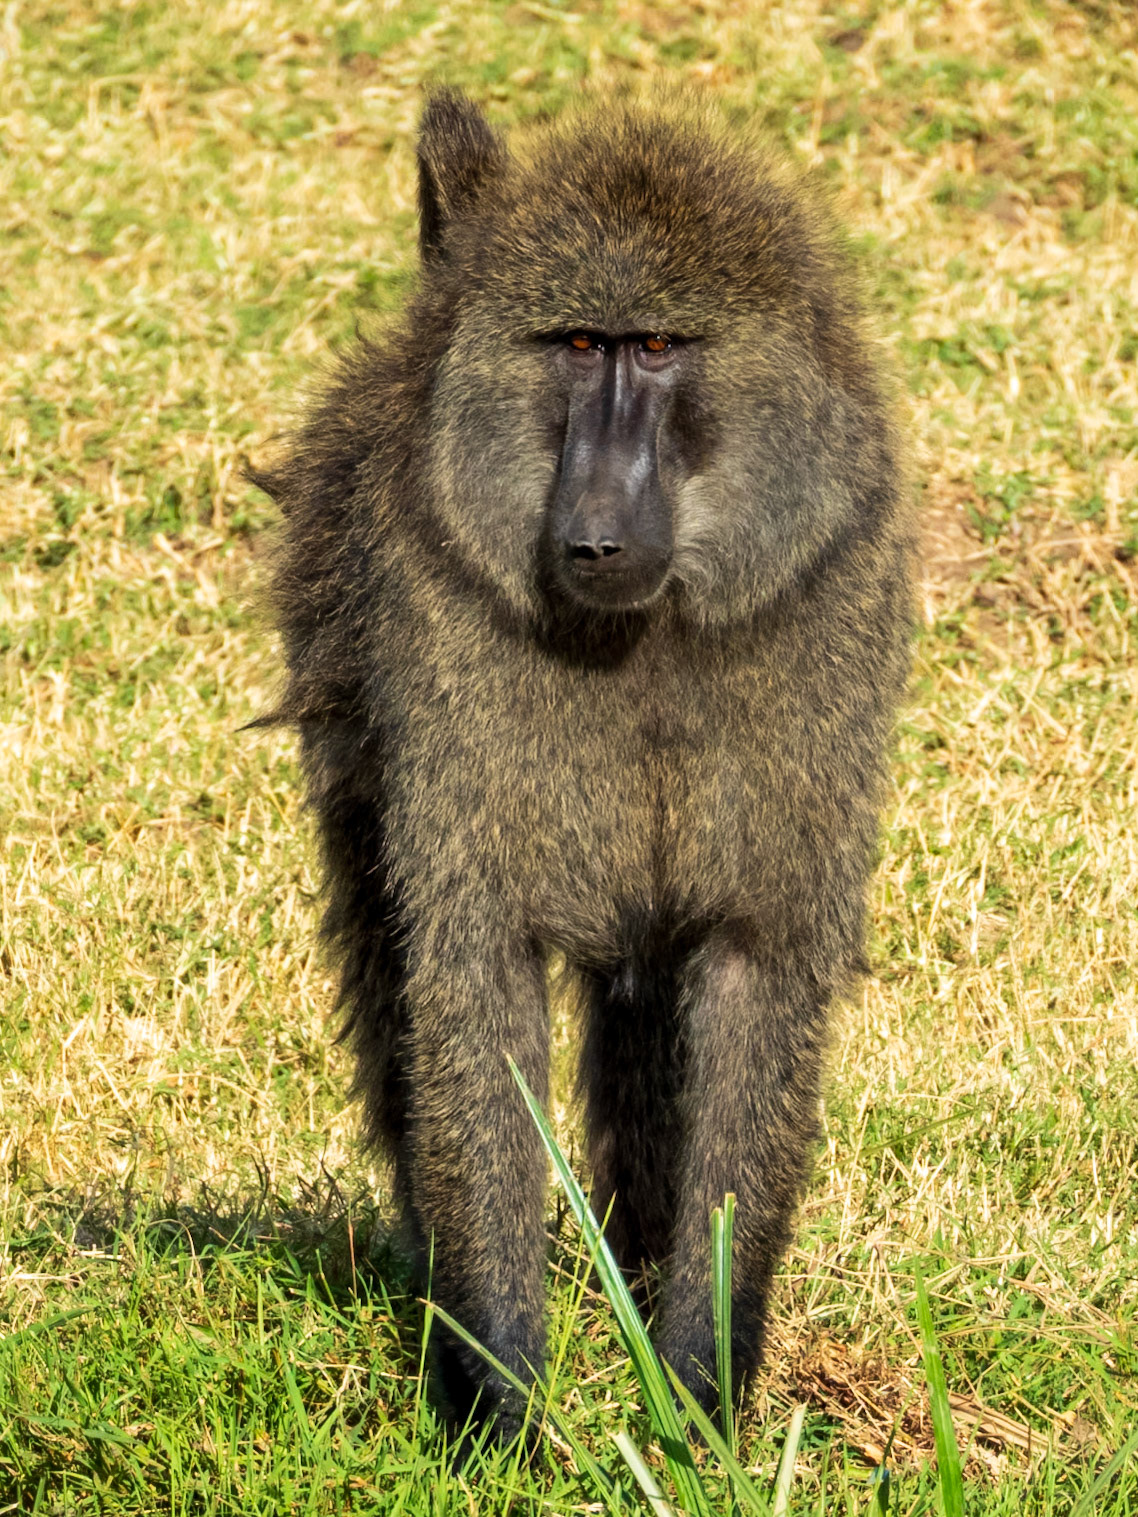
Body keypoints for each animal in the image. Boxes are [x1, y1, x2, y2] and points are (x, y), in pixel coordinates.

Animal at [251, 89, 913, 1440]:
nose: (595, 531)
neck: (645, 632)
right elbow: (472, 978)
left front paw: (699, 1396)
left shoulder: (826, 608)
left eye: (655, 346)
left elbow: (755, 972)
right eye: (572, 344)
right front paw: (496, 1404)